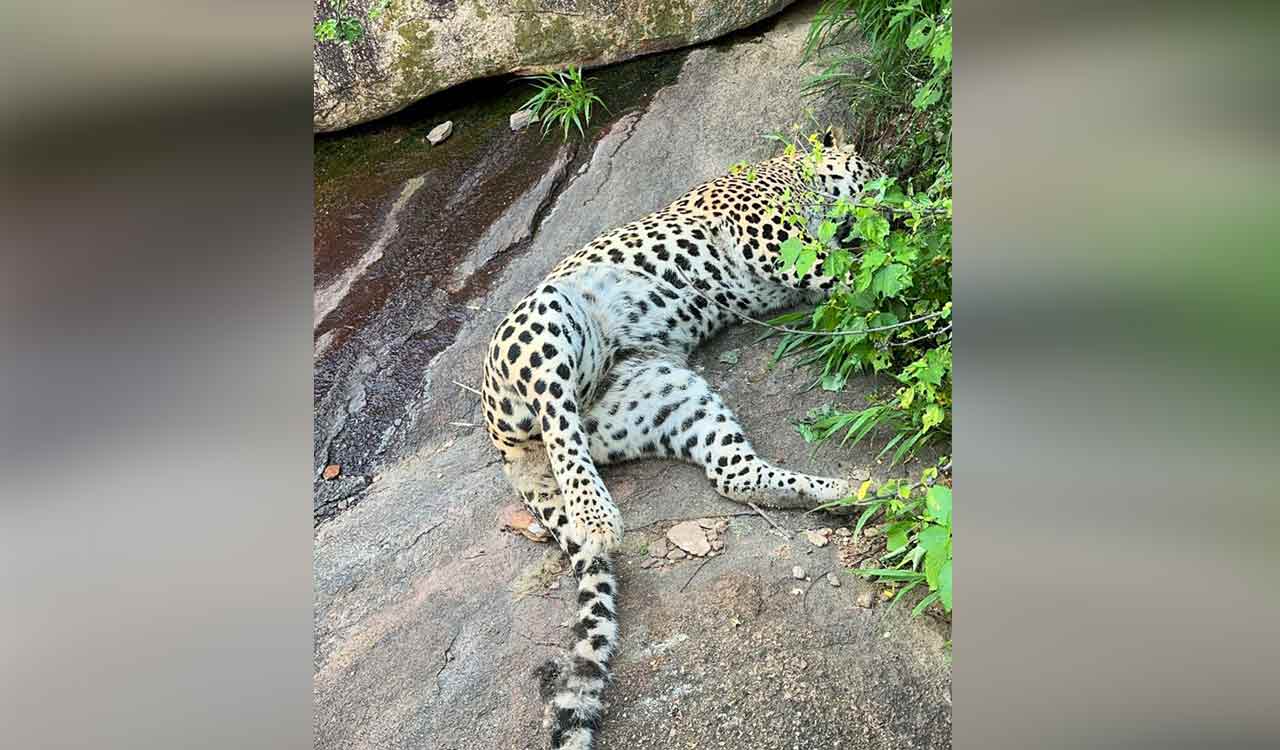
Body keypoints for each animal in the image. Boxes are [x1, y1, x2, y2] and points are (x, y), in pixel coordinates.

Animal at [481, 130, 881, 750]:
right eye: (869, 166)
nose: (890, 183)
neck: (798, 173)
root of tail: (505, 453)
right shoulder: (771, 237)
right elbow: (845, 268)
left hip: (669, 395)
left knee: (735, 475)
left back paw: (857, 496)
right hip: (548, 320)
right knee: (558, 426)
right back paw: (598, 518)